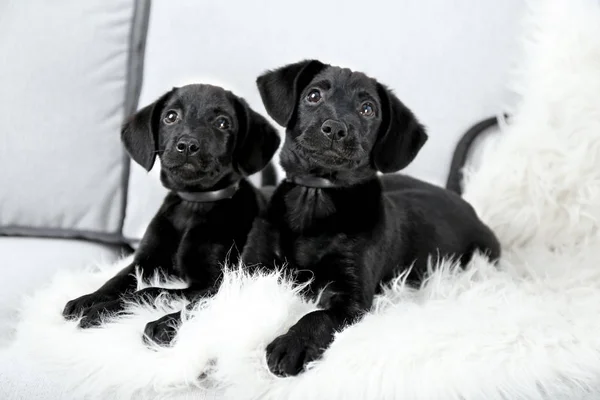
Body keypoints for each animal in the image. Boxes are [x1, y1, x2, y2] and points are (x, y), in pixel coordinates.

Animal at [62, 84, 282, 344]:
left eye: (222, 123)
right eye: (170, 117)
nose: (187, 145)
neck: (192, 204)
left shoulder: (214, 282)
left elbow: (152, 291)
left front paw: (112, 313)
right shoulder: (144, 262)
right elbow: (116, 279)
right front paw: (90, 300)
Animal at [244, 59, 502, 376]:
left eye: (368, 109)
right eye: (313, 95)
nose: (335, 128)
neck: (316, 197)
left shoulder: (353, 299)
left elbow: (318, 316)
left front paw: (292, 345)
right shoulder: (253, 266)